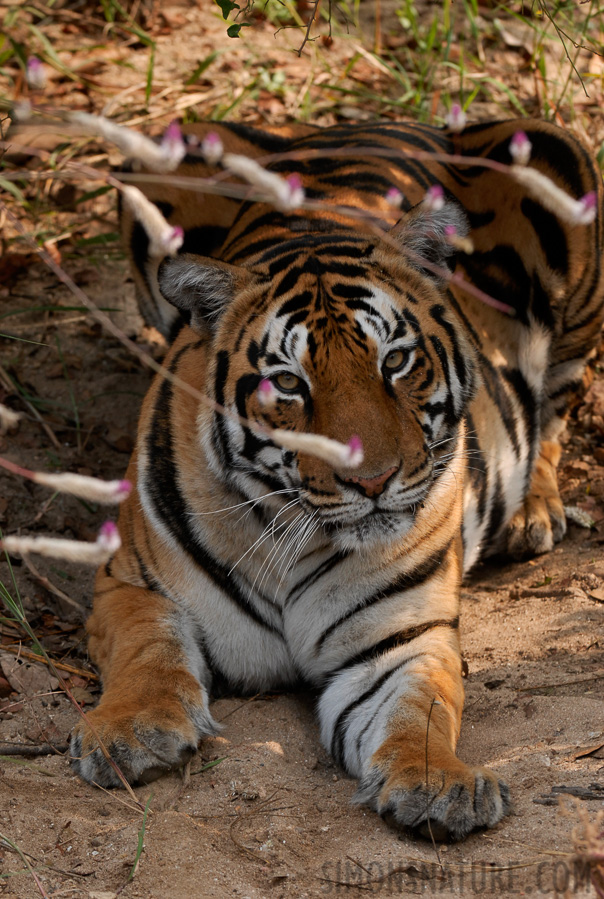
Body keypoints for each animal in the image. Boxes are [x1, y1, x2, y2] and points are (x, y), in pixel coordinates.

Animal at [71, 116, 604, 840]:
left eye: (396, 361)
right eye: (289, 383)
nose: (374, 480)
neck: (287, 532)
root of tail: (376, 121)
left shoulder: (401, 638)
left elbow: (418, 711)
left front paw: (440, 783)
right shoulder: (130, 581)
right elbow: (146, 647)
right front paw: (130, 730)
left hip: (559, 166)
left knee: (556, 404)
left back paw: (531, 515)